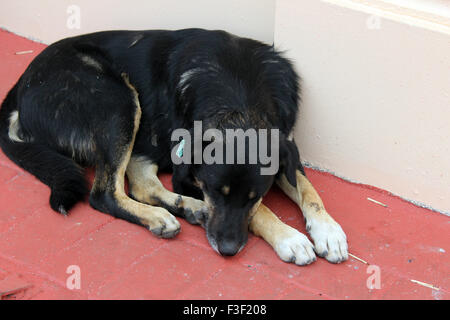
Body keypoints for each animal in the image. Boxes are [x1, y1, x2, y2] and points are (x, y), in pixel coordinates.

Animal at [0, 28, 348, 264]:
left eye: (254, 194)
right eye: (215, 191)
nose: (227, 250)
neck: (238, 99)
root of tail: (20, 85)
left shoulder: (286, 150)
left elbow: (307, 190)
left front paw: (328, 231)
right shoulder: (191, 173)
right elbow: (262, 213)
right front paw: (289, 237)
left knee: (139, 182)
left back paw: (188, 208)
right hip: (117, 102)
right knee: (105, 193)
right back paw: (162, 215)